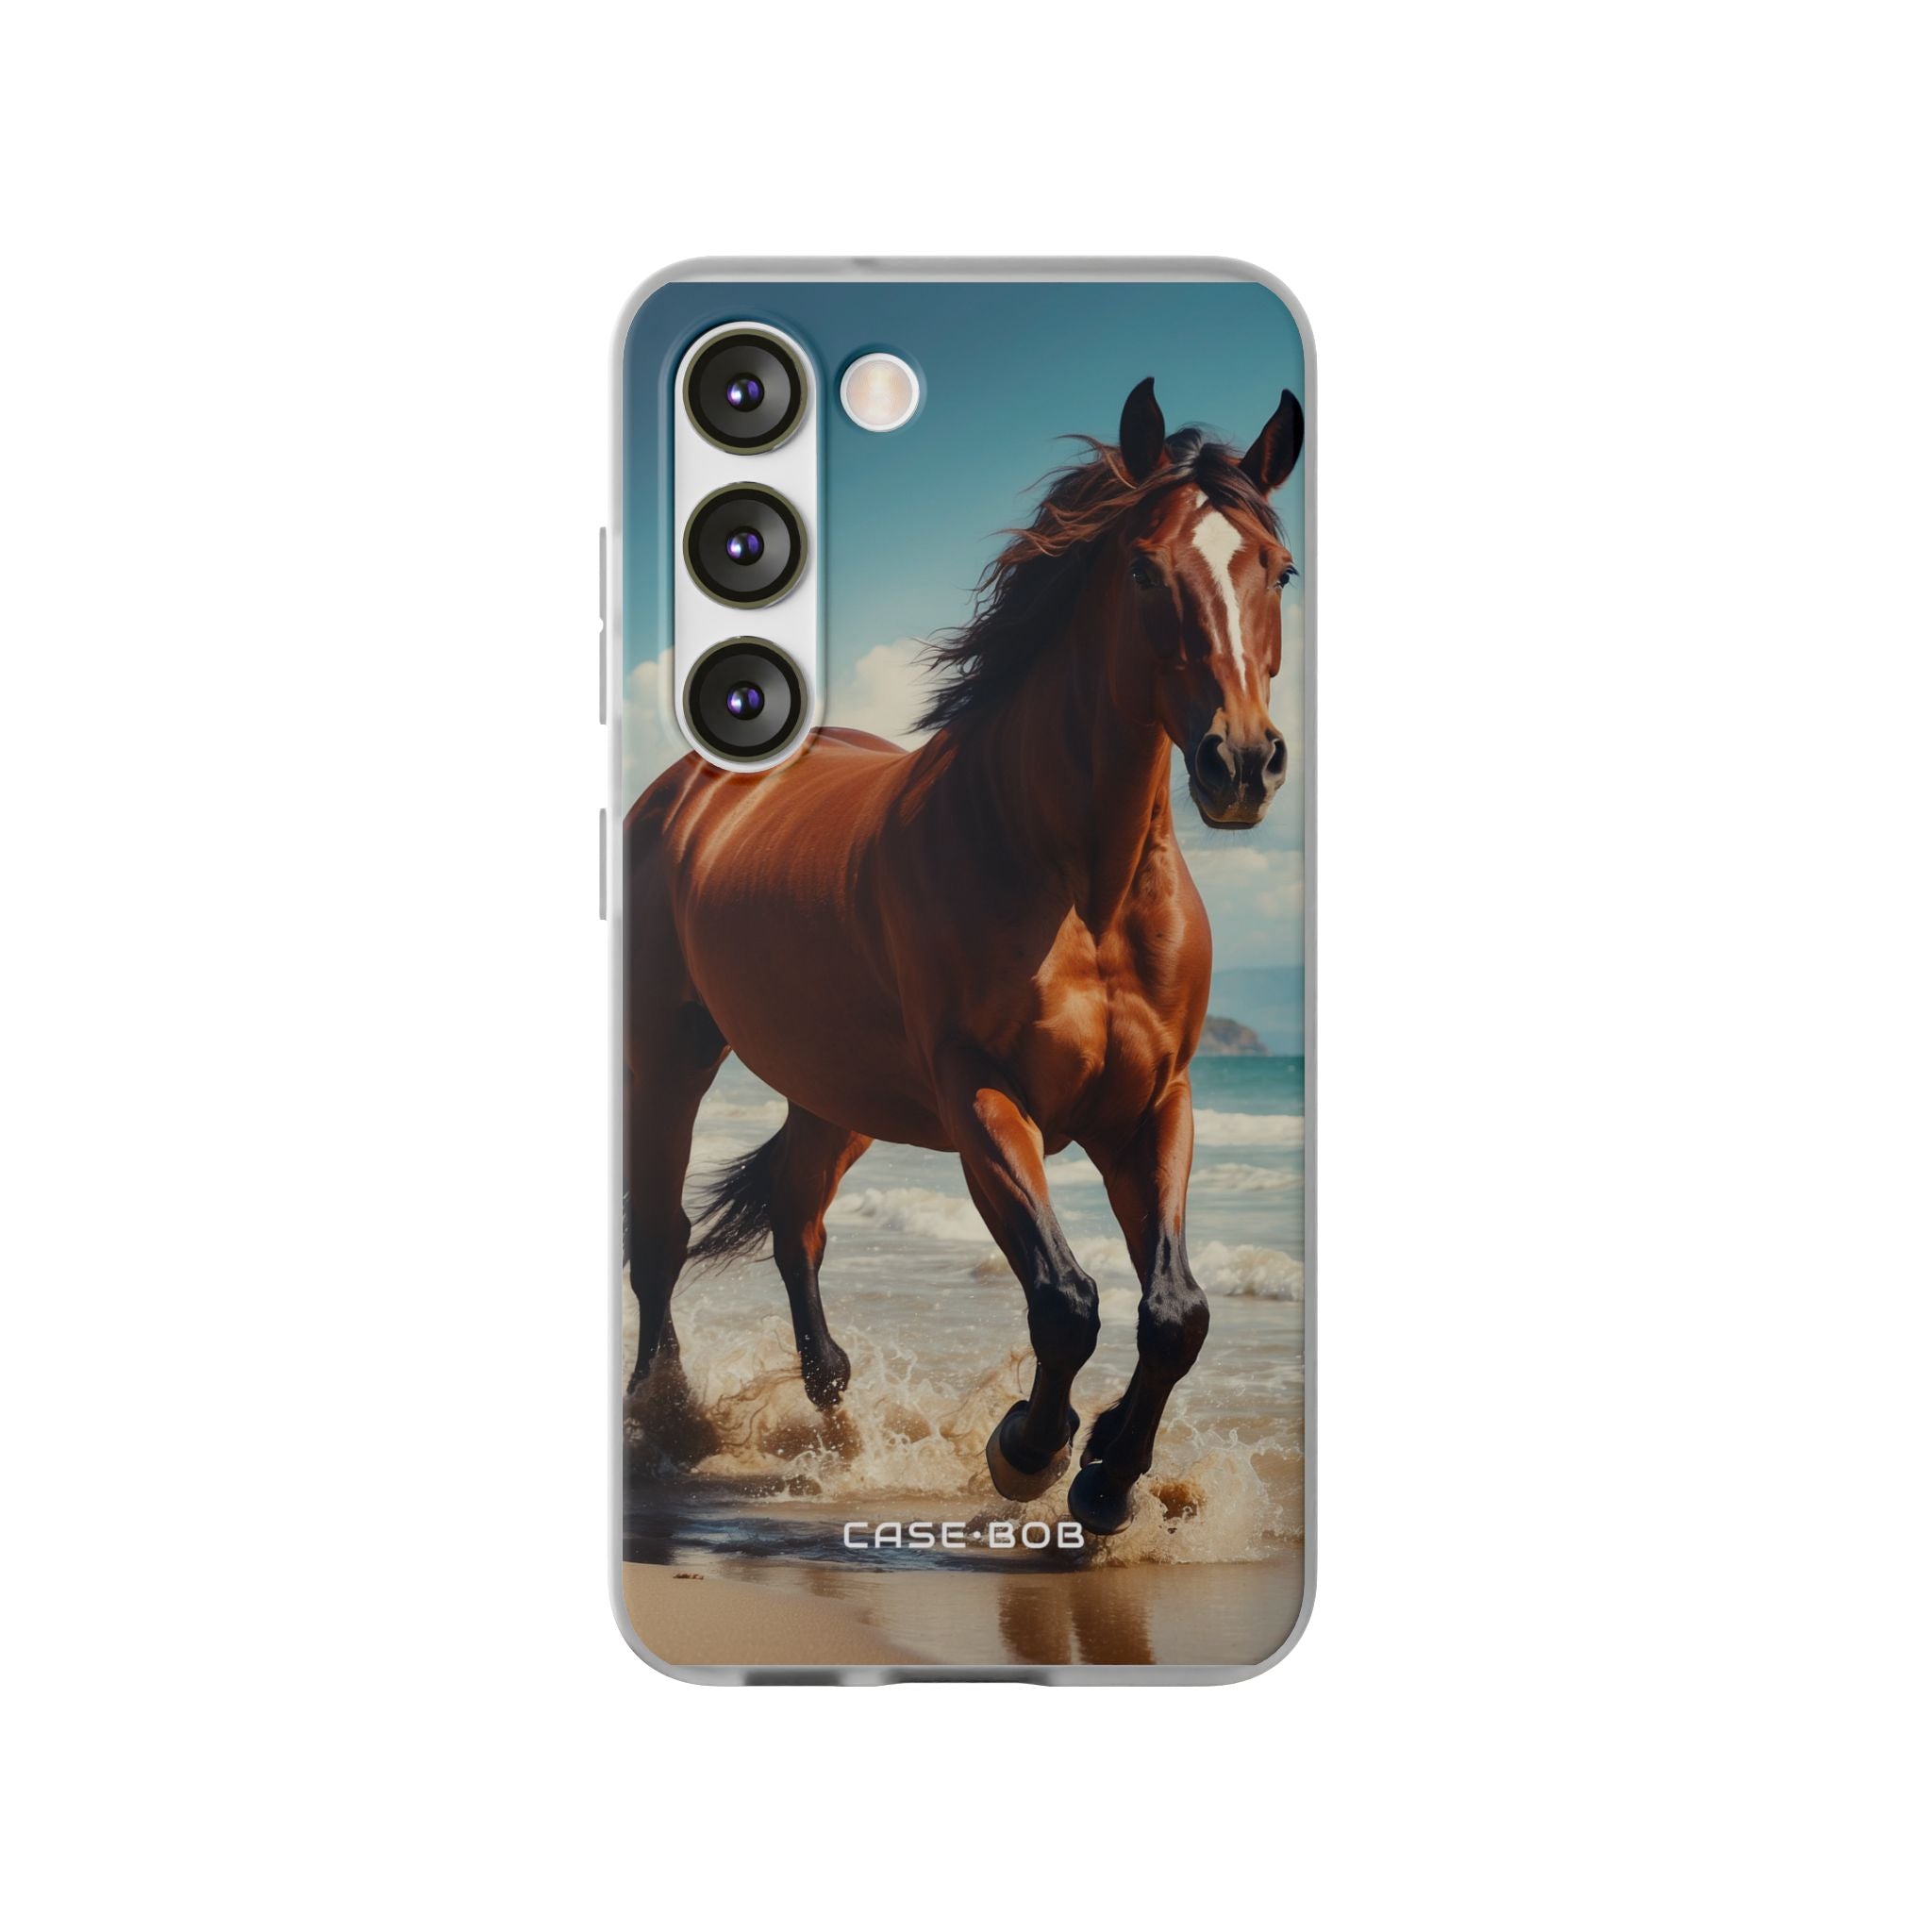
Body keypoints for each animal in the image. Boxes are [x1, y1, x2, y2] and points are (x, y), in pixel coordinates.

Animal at [623, 375, 1304, 1534]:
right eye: (1141, 566)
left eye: (1281, 568)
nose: (1242, 763)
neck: (1077, 882)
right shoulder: (982, 1097)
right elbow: (1066, 1300)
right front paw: (1029, 1447)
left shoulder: (1154, 1104)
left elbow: (1174, 1312)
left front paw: (1109, 1474)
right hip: (669, 1047)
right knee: (662, 1234)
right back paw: (663, 1422)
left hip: (834, 1092)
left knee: (795, 1223)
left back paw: (835, 1423)